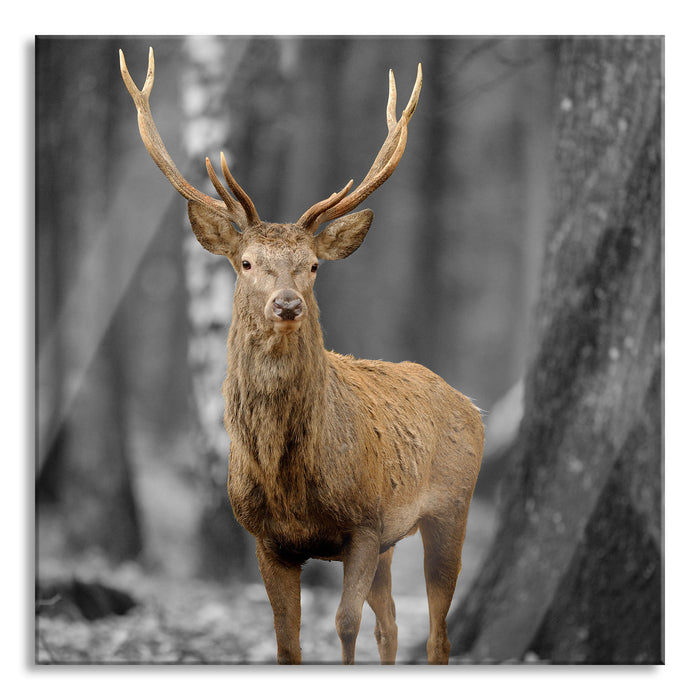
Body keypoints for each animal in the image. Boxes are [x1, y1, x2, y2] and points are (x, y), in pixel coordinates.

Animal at [120, 47, 484, 665]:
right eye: (246, 262)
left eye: (312, 265)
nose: (287, 303)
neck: (290, 480)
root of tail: (472, 405)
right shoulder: (267, 537)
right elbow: (286, 642)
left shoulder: (364, 523)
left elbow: (344, 625)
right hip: (394, 540)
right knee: (392, 624)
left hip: (450, 508)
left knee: (436, 634)